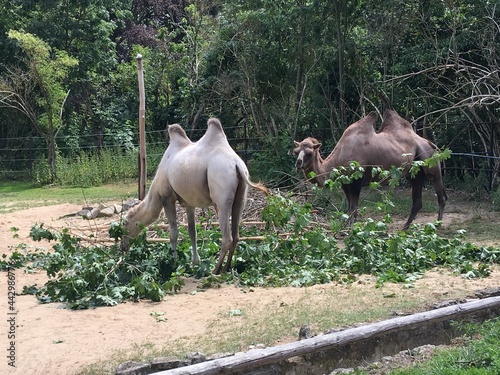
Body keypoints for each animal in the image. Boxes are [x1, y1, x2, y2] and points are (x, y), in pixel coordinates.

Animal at [121, 119, 270, 274]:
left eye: (123, 225)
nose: (122, 247)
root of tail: (236, 164)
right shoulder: (189, 203)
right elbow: (192, 231)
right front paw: (195, 263)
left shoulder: (167, 198)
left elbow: (173, 233)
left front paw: (173, 263)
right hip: (241, 196)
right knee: (236, 235)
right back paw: (226, 268)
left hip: (221, 197)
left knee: (227, 237)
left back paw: (214, 270)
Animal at [294, 108, 448, 229]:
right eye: (296, 151)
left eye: (309, 153)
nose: (298, 163)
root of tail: (431, 144)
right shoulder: (345, 182)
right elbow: (349, 207)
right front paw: (347, 226)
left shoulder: (356, 179)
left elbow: (353, 207)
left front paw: (350, 229)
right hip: (414, 173)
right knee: (417, 201)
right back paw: (405, 227)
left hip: (430, 161)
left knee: (440, 194)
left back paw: (437, 224)